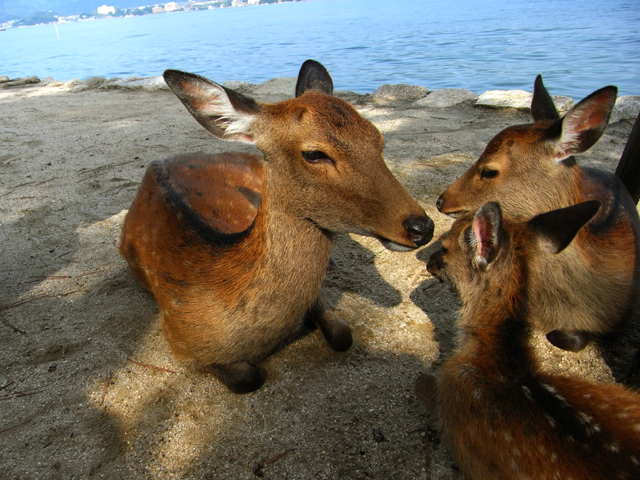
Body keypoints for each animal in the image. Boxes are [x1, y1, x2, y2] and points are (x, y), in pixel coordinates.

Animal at [119, 60, 436, 394]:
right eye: (314, 153)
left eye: (378, 139)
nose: (422, 227)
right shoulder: (178, 340)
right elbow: (249, 378)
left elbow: (343, 335)